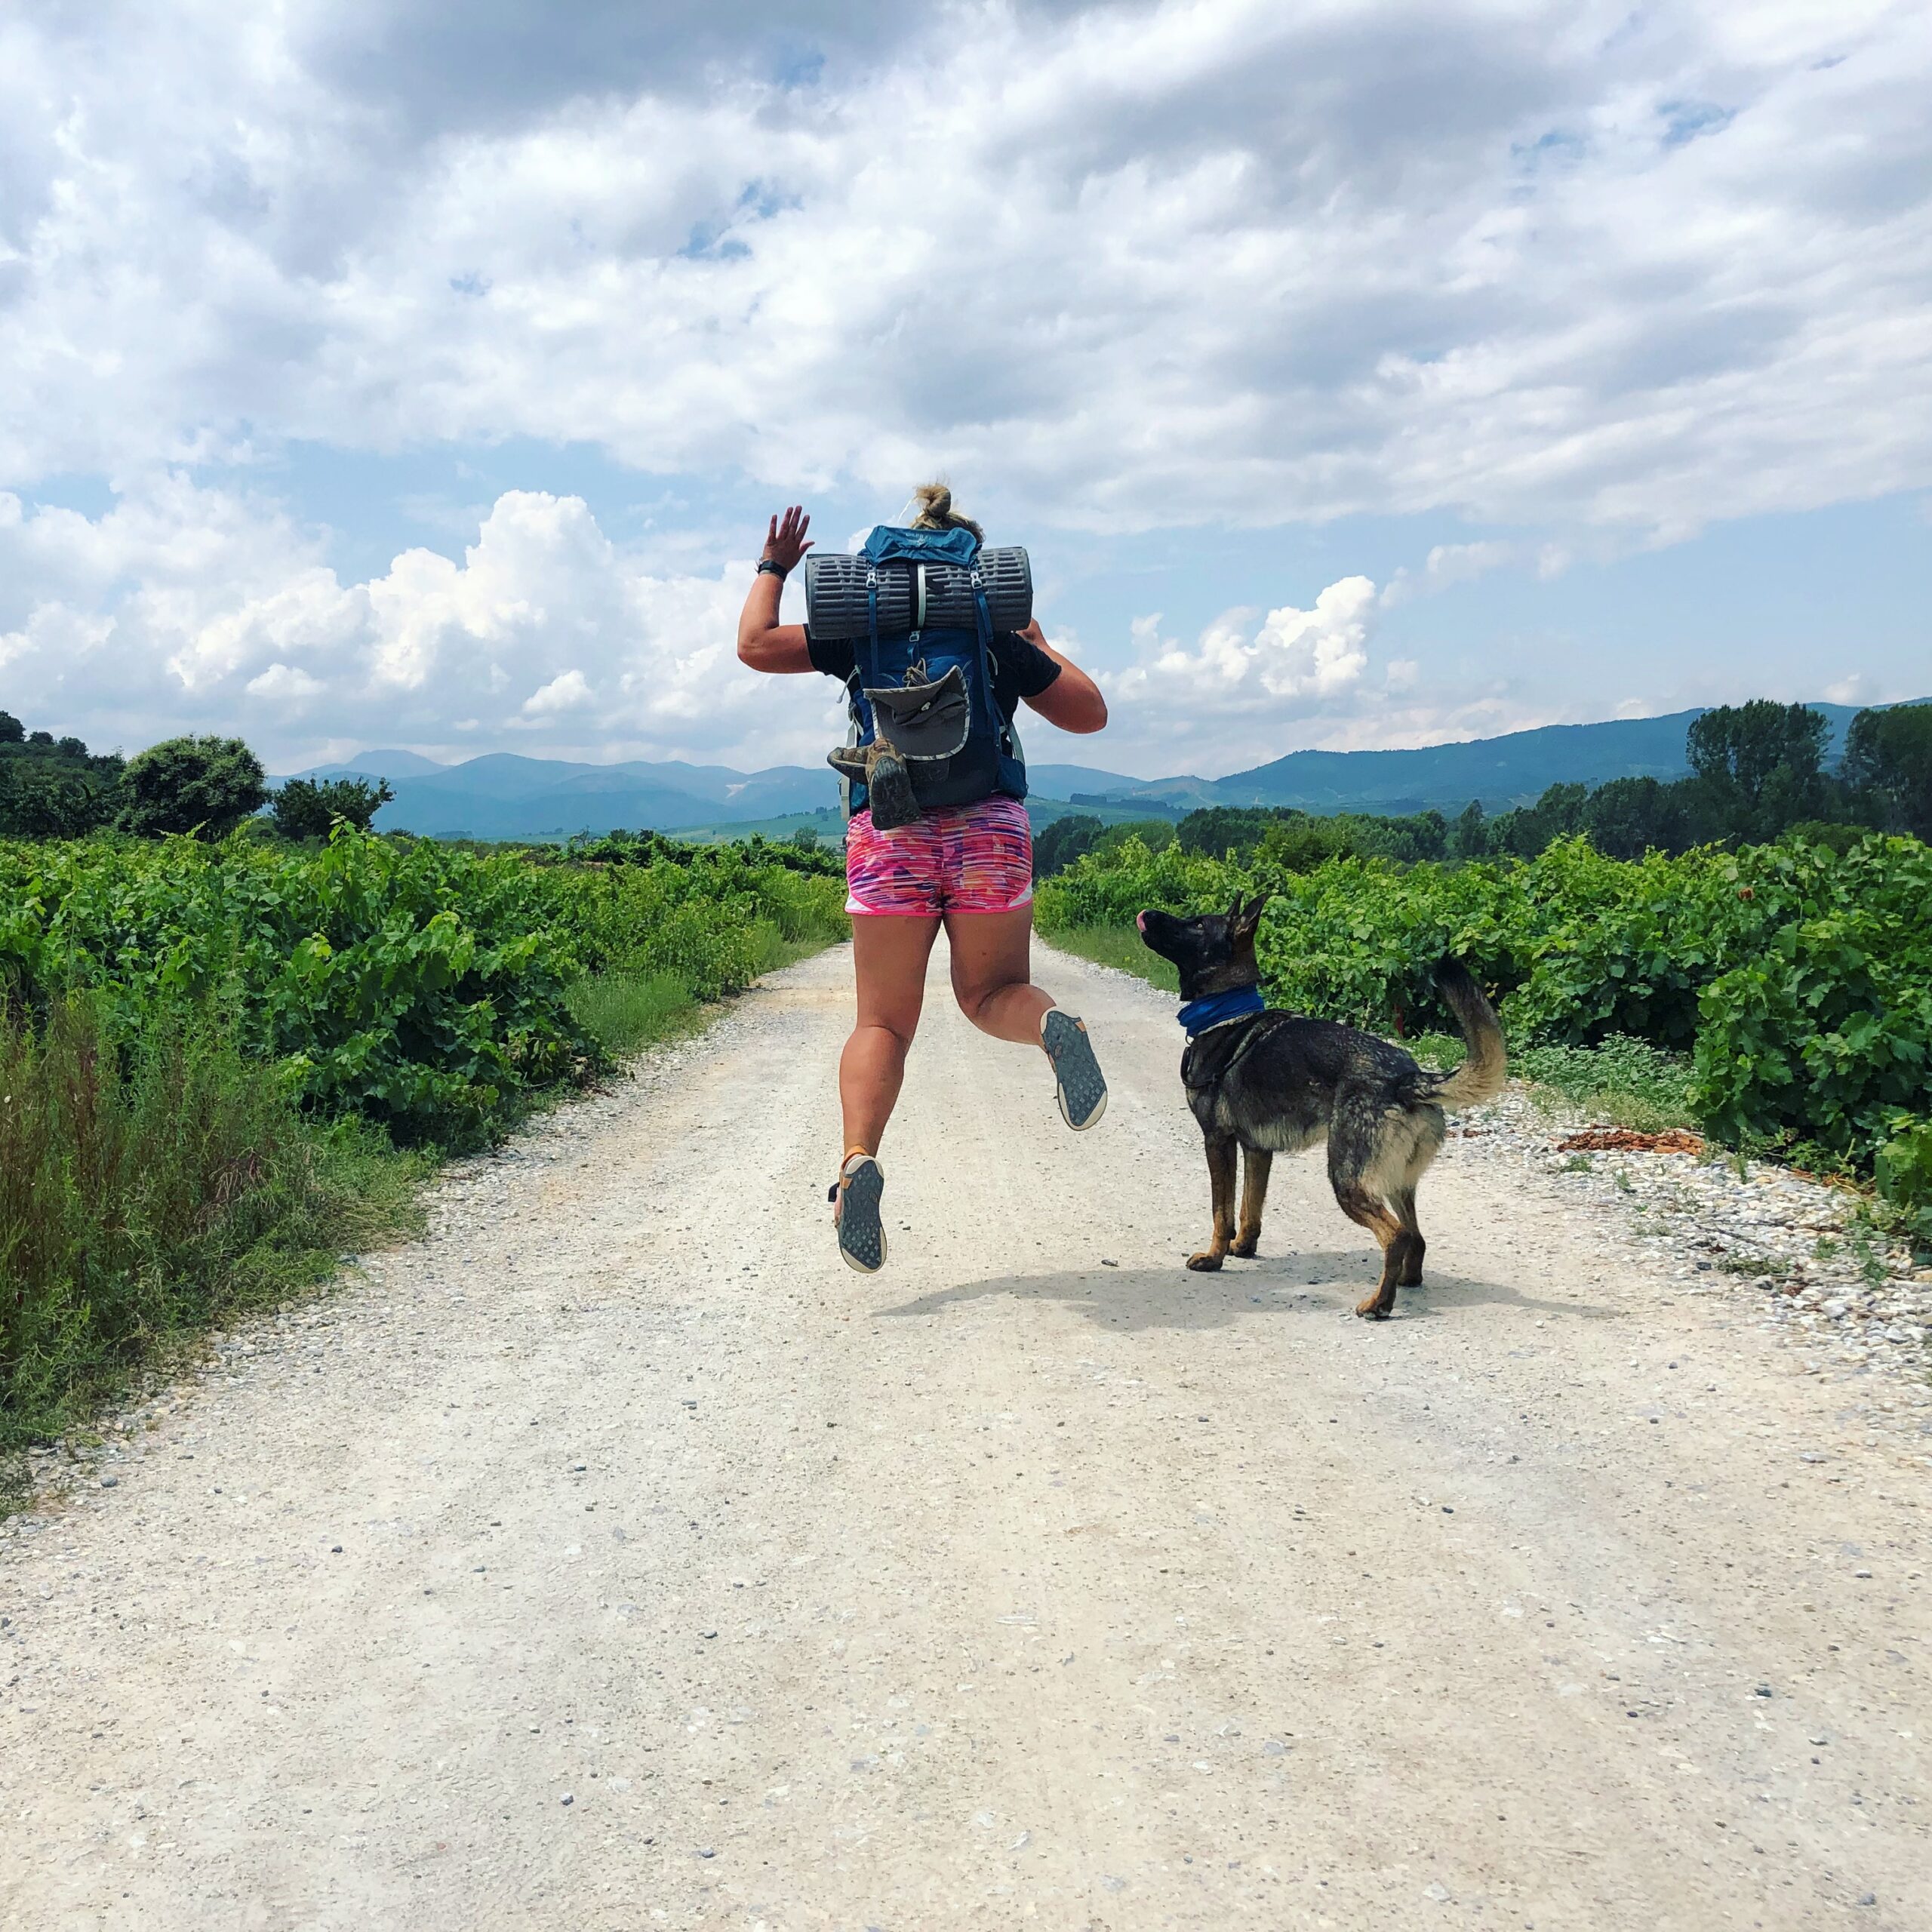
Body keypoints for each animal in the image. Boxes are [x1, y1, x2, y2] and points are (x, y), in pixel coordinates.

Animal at [1128, 896, 1506, 1321]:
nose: (1147, 914)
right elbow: (1249, 1209)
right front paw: (1244, 1248)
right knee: (1416, 1237)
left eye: (1196, 925)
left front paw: (1215, 1257)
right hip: (1396, 1182)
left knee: (1396, 1236)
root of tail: (1408, 1078)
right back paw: (1405, 1283)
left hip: (1347, 1181)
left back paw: (1379, 1303)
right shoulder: (1257, 1150)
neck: (1227, 1013)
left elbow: (1221, 1212)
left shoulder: (1218, 1142)